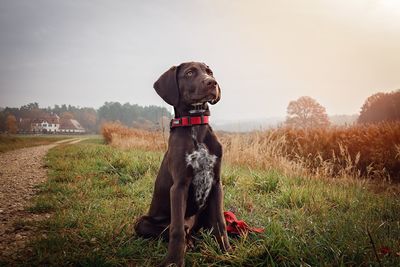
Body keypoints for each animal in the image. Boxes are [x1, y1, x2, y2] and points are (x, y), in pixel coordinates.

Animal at [134, 62, 230, 266]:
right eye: (190, 73)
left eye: (209, 72)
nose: (212, 82)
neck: (196, 125)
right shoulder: (179, 187)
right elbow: (176, 230)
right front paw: (174, 261)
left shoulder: (217, 184)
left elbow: (221, 223)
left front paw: (227, 252)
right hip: (142, 223)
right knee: (175, 229)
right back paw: (189, 241)